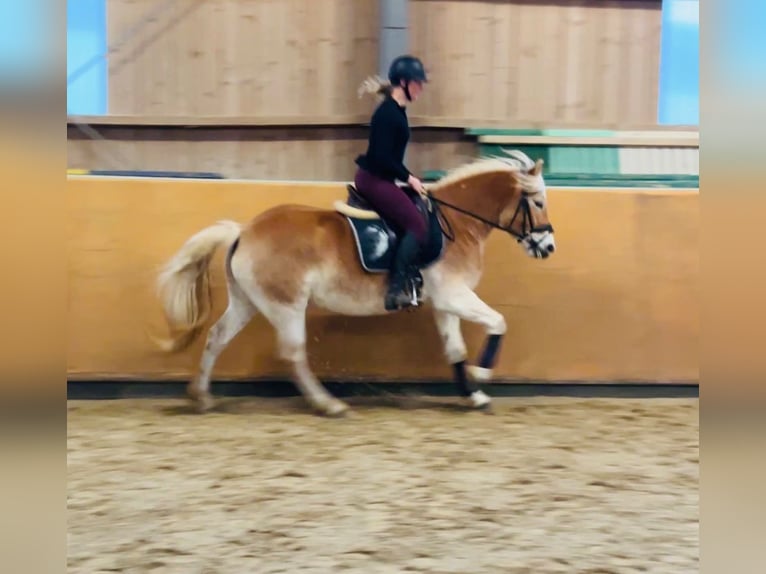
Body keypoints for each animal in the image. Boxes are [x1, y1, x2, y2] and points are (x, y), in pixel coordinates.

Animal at [154, 151, 560, 416]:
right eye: (538, 201)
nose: (548, 247)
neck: (456, 224)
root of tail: (245, 231)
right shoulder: (454, 295)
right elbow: (498, 321)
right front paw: (483, 373)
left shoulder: (444, 302)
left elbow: (455, 350)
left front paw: (473, 395)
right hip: (286, 305)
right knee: (293, 352)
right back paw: (328, 404)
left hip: (247, 302)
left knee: (217, 337)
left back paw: (201, 397)